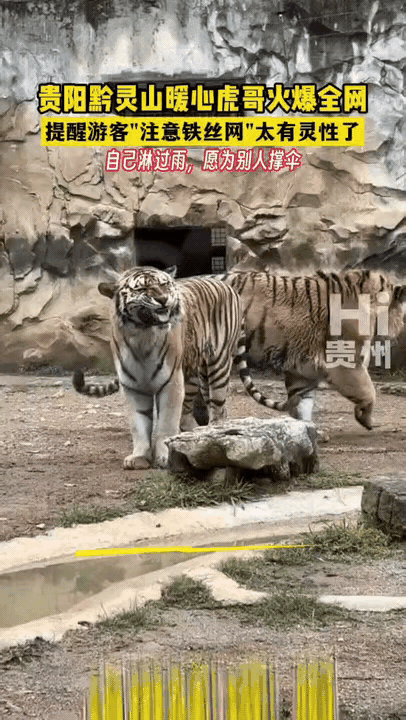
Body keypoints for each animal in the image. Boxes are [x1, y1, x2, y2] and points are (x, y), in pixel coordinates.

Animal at [73, 265, 273, 470]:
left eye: (164, 284)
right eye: (142, 289)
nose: (163, 299)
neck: (142, 335)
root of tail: (228, 286)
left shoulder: (171, 382)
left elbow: (166, 423)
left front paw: (165, 456)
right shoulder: (132, 386)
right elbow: (138, 423)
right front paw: (139, 457)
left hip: (218, 364)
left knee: (218, 408)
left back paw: (215, 436)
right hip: (196, 375)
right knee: (192, 410)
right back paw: (196, 436)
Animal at [207, 268, 406, 431]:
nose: (400, 334)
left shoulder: (302, 368)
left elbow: (302, 404)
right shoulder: (344, 362)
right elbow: (369, 391)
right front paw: (366, 419)